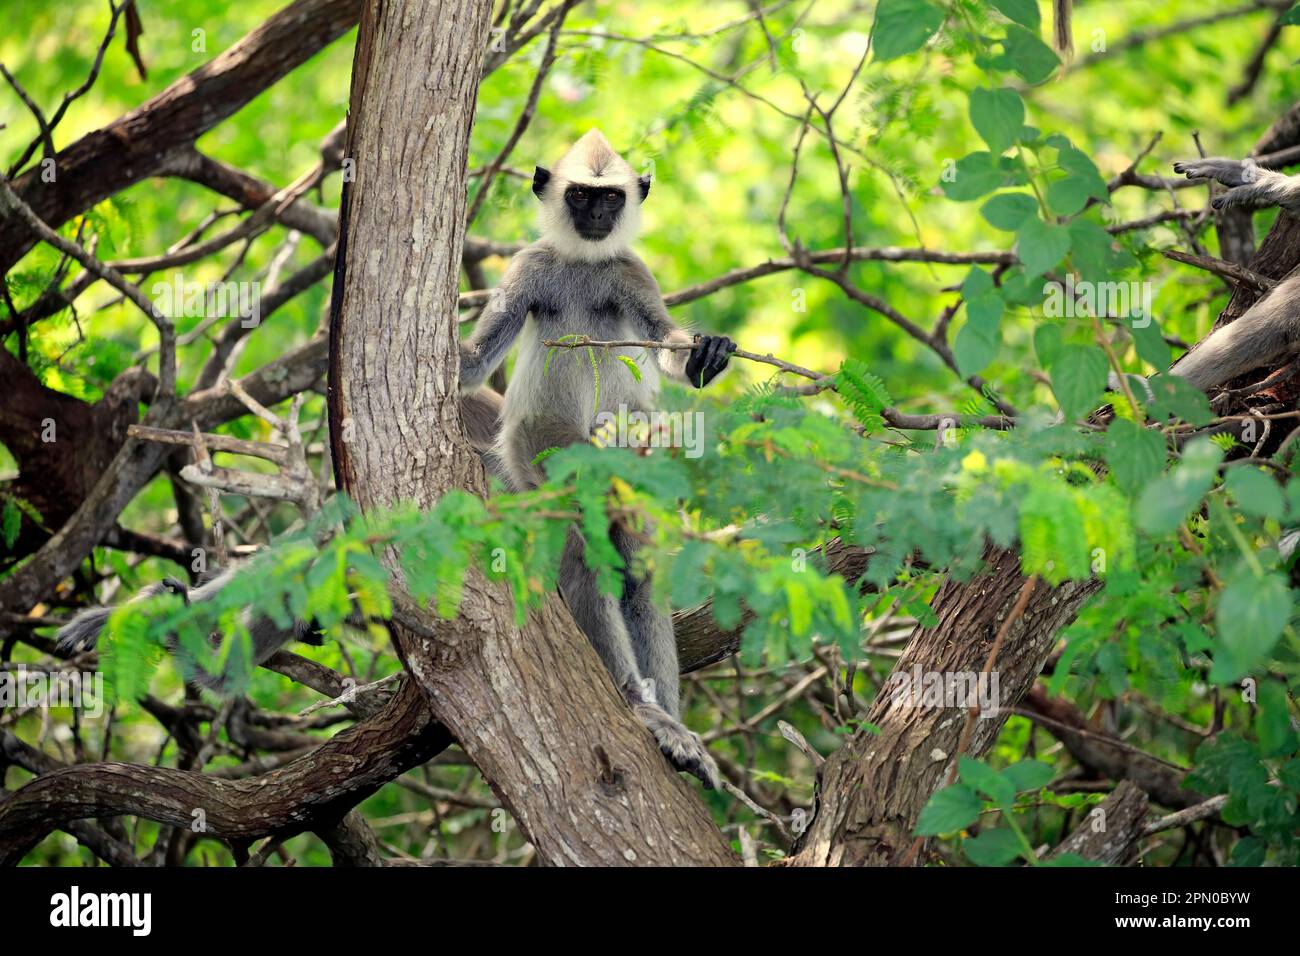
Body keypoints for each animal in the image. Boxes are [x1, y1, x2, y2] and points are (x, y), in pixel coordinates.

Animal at [462, 130, 738, 790]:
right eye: (581, 195)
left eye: (610, 197)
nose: (596, 217)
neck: (585, 265)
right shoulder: (531, 267)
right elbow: (476, 363)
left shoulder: (629, 272)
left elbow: (665, 343)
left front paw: (704, 356)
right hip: (541, 445)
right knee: (584, 547)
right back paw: (641, 708)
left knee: (635, 564)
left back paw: (667, 722)